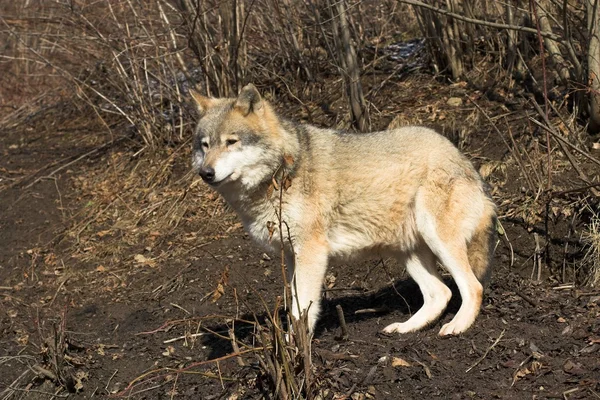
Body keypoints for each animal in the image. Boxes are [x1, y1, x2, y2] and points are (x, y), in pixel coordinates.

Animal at [192, 85, 496, 338]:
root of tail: (463, 159)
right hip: (407, 252)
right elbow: (294, 305)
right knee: (441, 293)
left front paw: (295, 348)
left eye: (231, 142)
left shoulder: (311, 253)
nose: (205, 172)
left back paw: (457, 326)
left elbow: (302, 309)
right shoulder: (291, 255)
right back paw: (405, 328)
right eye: (205, 145)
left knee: (473, 287)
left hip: (437, 240)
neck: (281, 172)